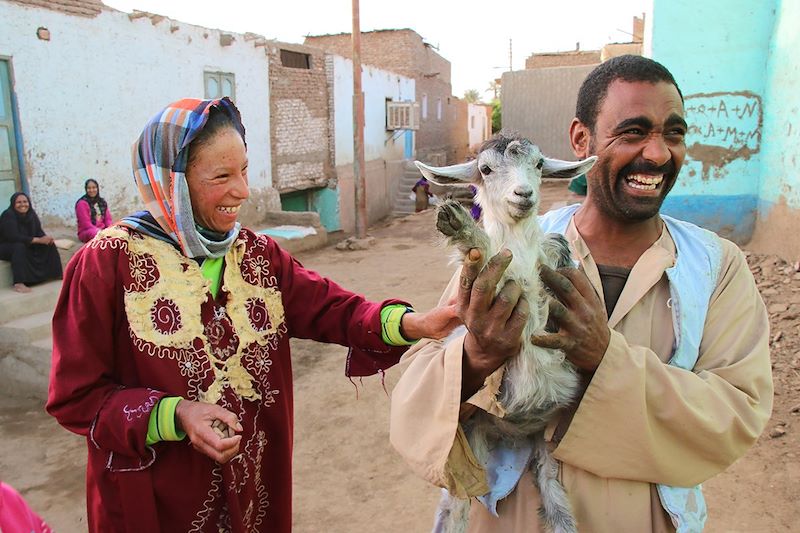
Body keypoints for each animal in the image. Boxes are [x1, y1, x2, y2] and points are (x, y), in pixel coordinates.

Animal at [418, 133, 592, 532]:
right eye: (485, 169)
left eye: (539, 164)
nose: (523, 193)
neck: (523, 253)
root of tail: (515, 431)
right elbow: (489, 257)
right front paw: (460, 226)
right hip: (473, 435)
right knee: (454, 510)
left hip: (547, 444)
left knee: (556, 504)